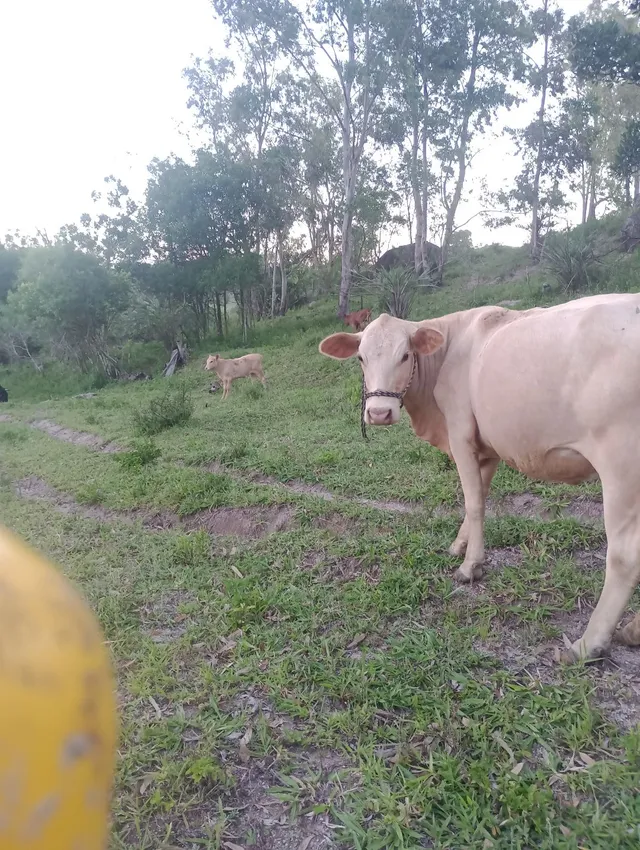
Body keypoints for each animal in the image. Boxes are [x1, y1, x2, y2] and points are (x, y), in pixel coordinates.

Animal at [319, 294, 640, 662]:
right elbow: (478, 498)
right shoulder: (485, 448)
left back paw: (589, 643)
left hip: (621, 465)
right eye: (361, 357)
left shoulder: (460, 436)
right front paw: (459, 546)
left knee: (624, 556)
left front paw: (470, 566)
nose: (379, 413)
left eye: (405, 355)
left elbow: (473, 503)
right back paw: (632, 631)